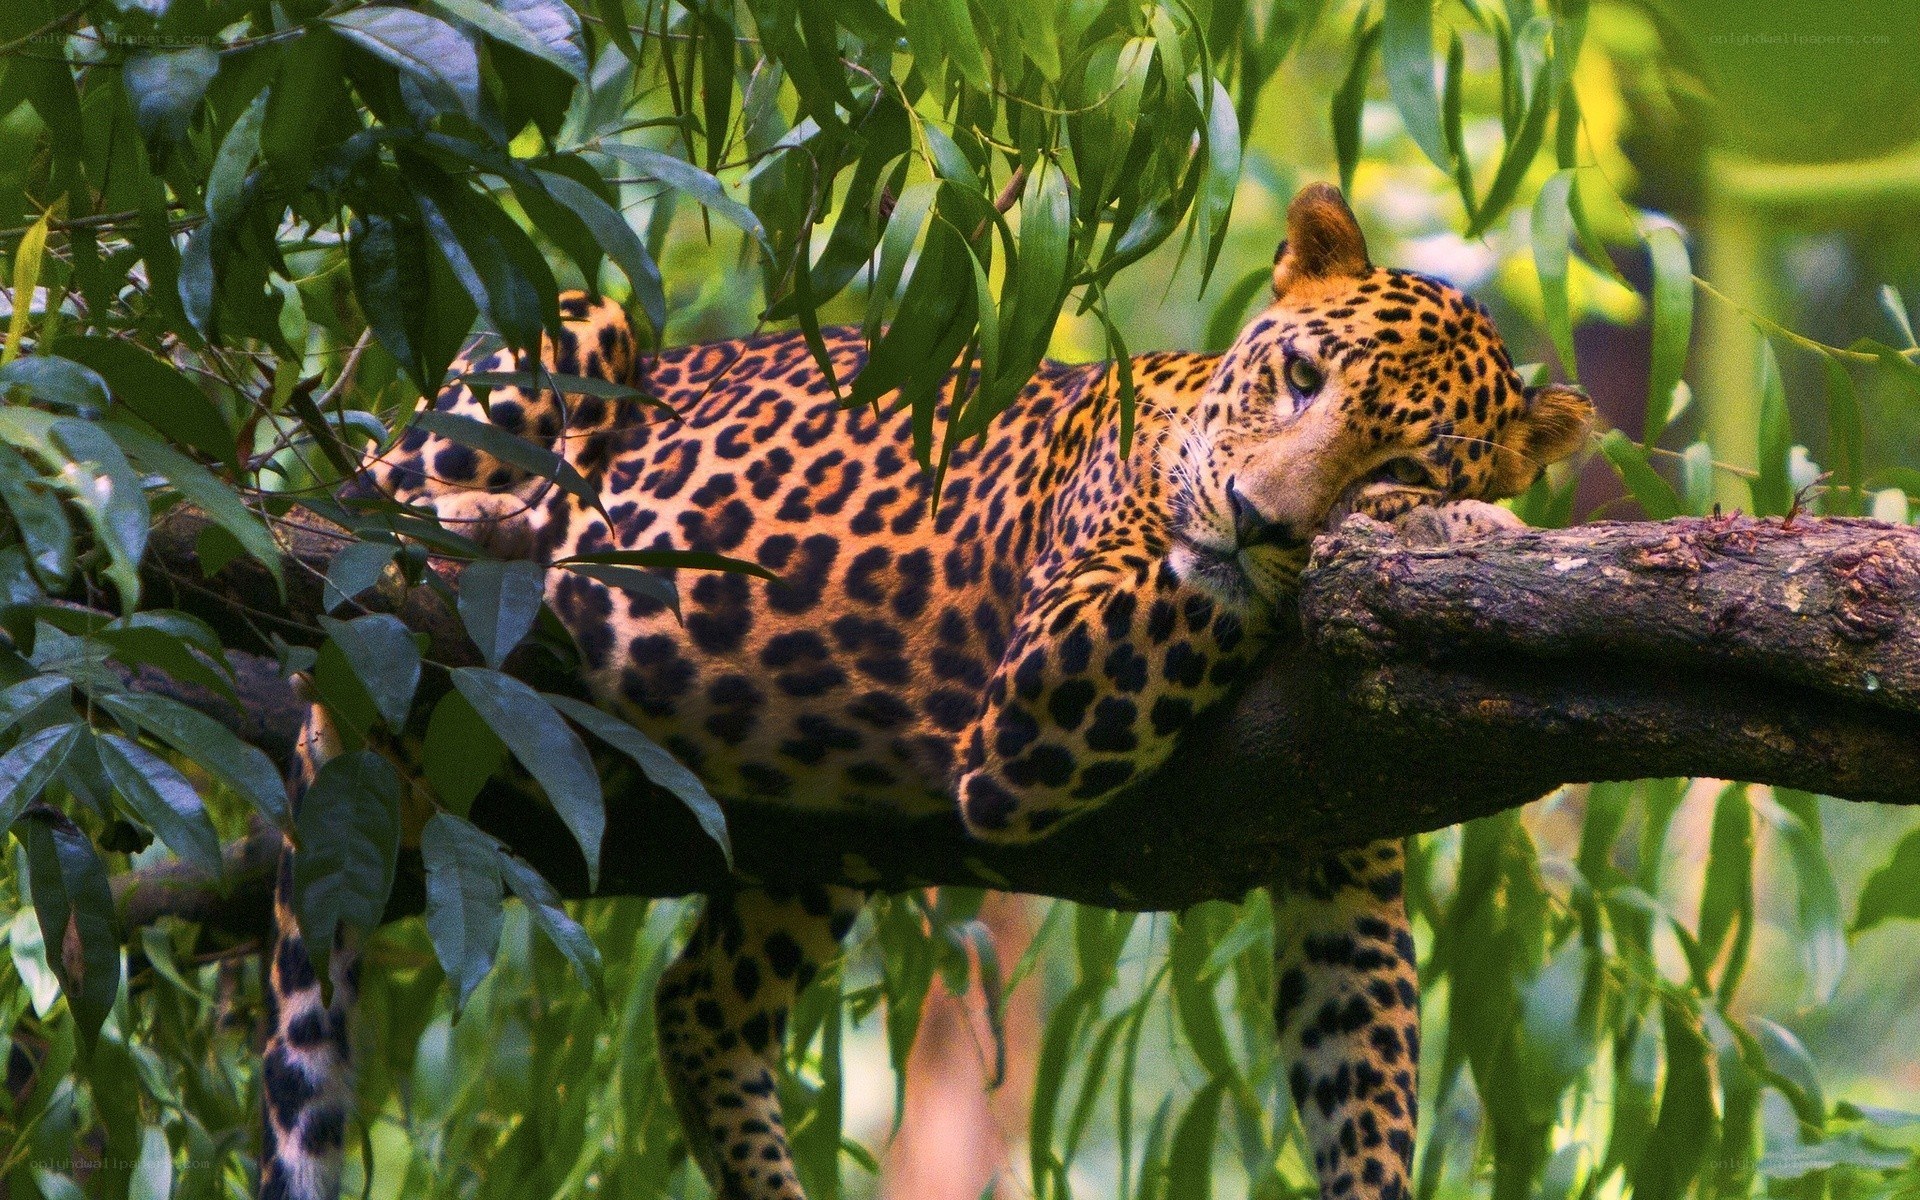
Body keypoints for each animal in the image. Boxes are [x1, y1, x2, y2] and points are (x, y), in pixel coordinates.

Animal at [258, 183, 1592, 1200]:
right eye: (1303, 375)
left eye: (1403, 451)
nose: (1255, 517)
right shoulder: (1048, 692)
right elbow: (1202, 592)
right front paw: (1458, 526)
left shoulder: (1340, 844)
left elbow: (1362, 1079)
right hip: (566, 334)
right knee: (360, 498)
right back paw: (492, 522)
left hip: (813, 830)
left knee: (698, 1007)